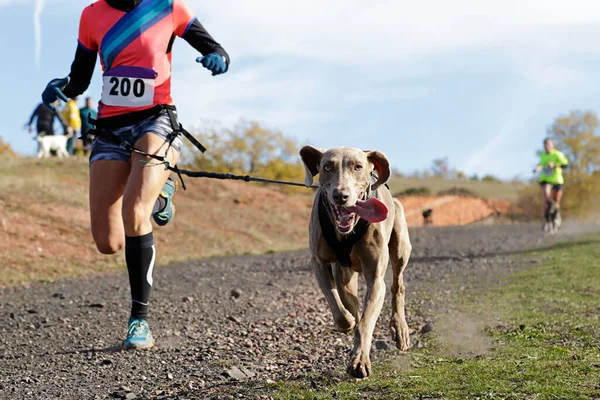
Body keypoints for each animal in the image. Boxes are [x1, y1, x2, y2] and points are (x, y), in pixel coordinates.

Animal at [300, 146, 412, 378]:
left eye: (358, 167)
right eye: (327, 167)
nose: (340, 196)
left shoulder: (376, 279)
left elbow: (366, 320)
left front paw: (359, 361)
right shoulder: (319, 263)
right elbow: (339, 306)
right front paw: (349, 322)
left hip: (400, 246)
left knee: (398, 285)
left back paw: (400, 330)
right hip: (345, 271)